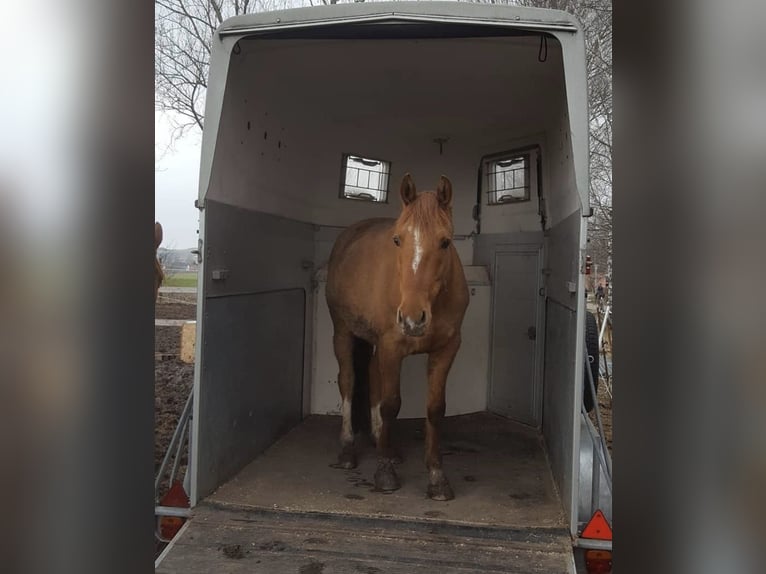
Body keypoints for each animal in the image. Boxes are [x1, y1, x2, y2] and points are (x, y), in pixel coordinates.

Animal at [326, 174, 469, 501]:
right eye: (397, 240)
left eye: (445, 242)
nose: (413, 318)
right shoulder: (391, 346)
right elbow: (391, 404)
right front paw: (384, 474)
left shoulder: (447, 349)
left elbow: (434, 409)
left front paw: (437, 478)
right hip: (343, 332)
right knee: (348, 380)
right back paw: (348, 450)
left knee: (371, 375)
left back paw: (383, 442)